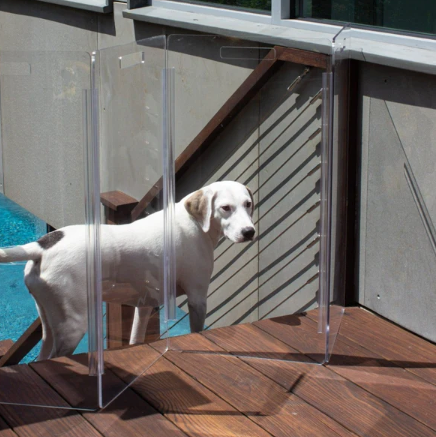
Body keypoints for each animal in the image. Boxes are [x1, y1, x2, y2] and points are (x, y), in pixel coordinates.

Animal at [0, 182, 254, 360]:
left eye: (248, 204)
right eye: (225, 208)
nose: (249, 231)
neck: (196, 223)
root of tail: (42, 244)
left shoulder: (146, 305)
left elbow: (135, 337)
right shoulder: (198, 298)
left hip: (49, 324)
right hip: (73, 326)